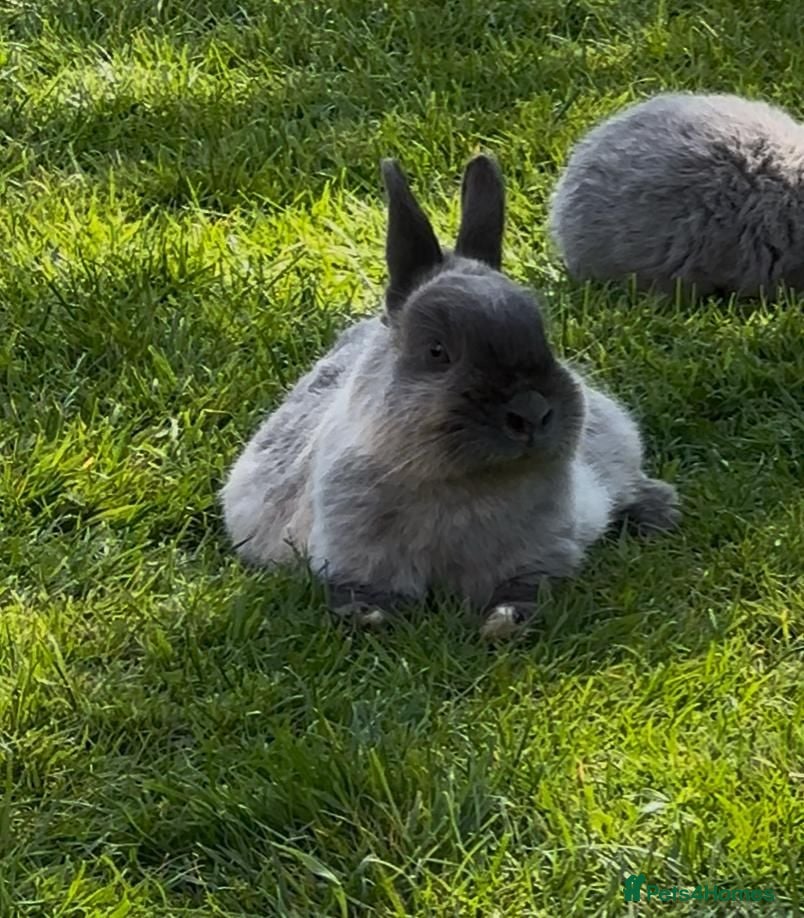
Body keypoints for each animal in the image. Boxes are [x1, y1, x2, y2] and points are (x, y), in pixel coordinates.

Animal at [221, 154, 680, 640]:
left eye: (543, 335)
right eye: (437, 352)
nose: (531, 412)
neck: (463, 483)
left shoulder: (536, 558)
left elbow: (524, 589)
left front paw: (504, 623)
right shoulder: (357, 559)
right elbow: (364, 592)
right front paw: (368, 617)